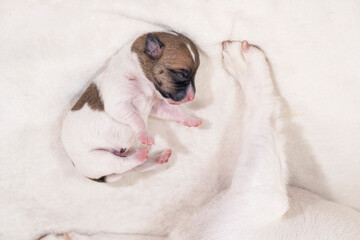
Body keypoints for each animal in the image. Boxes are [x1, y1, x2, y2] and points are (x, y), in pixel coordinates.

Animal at [62, 31, 202, 182]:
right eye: (180, 74)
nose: (191, 97)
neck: (142, 79)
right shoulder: (119, 105)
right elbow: (137, 118)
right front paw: (145, 134)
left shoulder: (156, 105)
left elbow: (175, 112)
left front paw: (191, 119)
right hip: (99, 158)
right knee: (123, 164)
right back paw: (139, 156)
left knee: (135, 168)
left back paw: (159, 158)